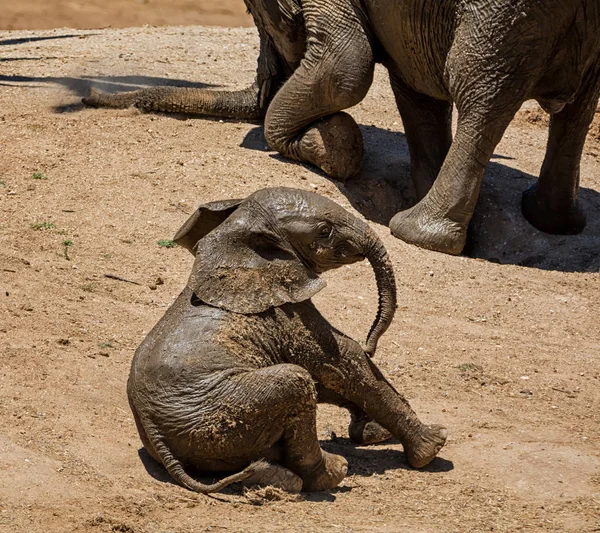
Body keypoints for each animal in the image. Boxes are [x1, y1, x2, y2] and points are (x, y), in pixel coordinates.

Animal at [84, 0, 600, 255]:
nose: (91, 96)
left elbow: (348, 66)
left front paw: (329, 140)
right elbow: (412, 79)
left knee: (480, 88)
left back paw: (416, 233)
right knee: (580, 100)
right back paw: (553, 220)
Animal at [129, 186, 448, 490]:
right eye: (324, 231)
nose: (373, 344)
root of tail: (155, 436)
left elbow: (332, 376)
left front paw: (374, 433)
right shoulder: (287, 311)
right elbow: (342, 360)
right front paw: (433, 445)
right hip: (218, 418)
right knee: (295, 380)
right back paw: (334, 473)